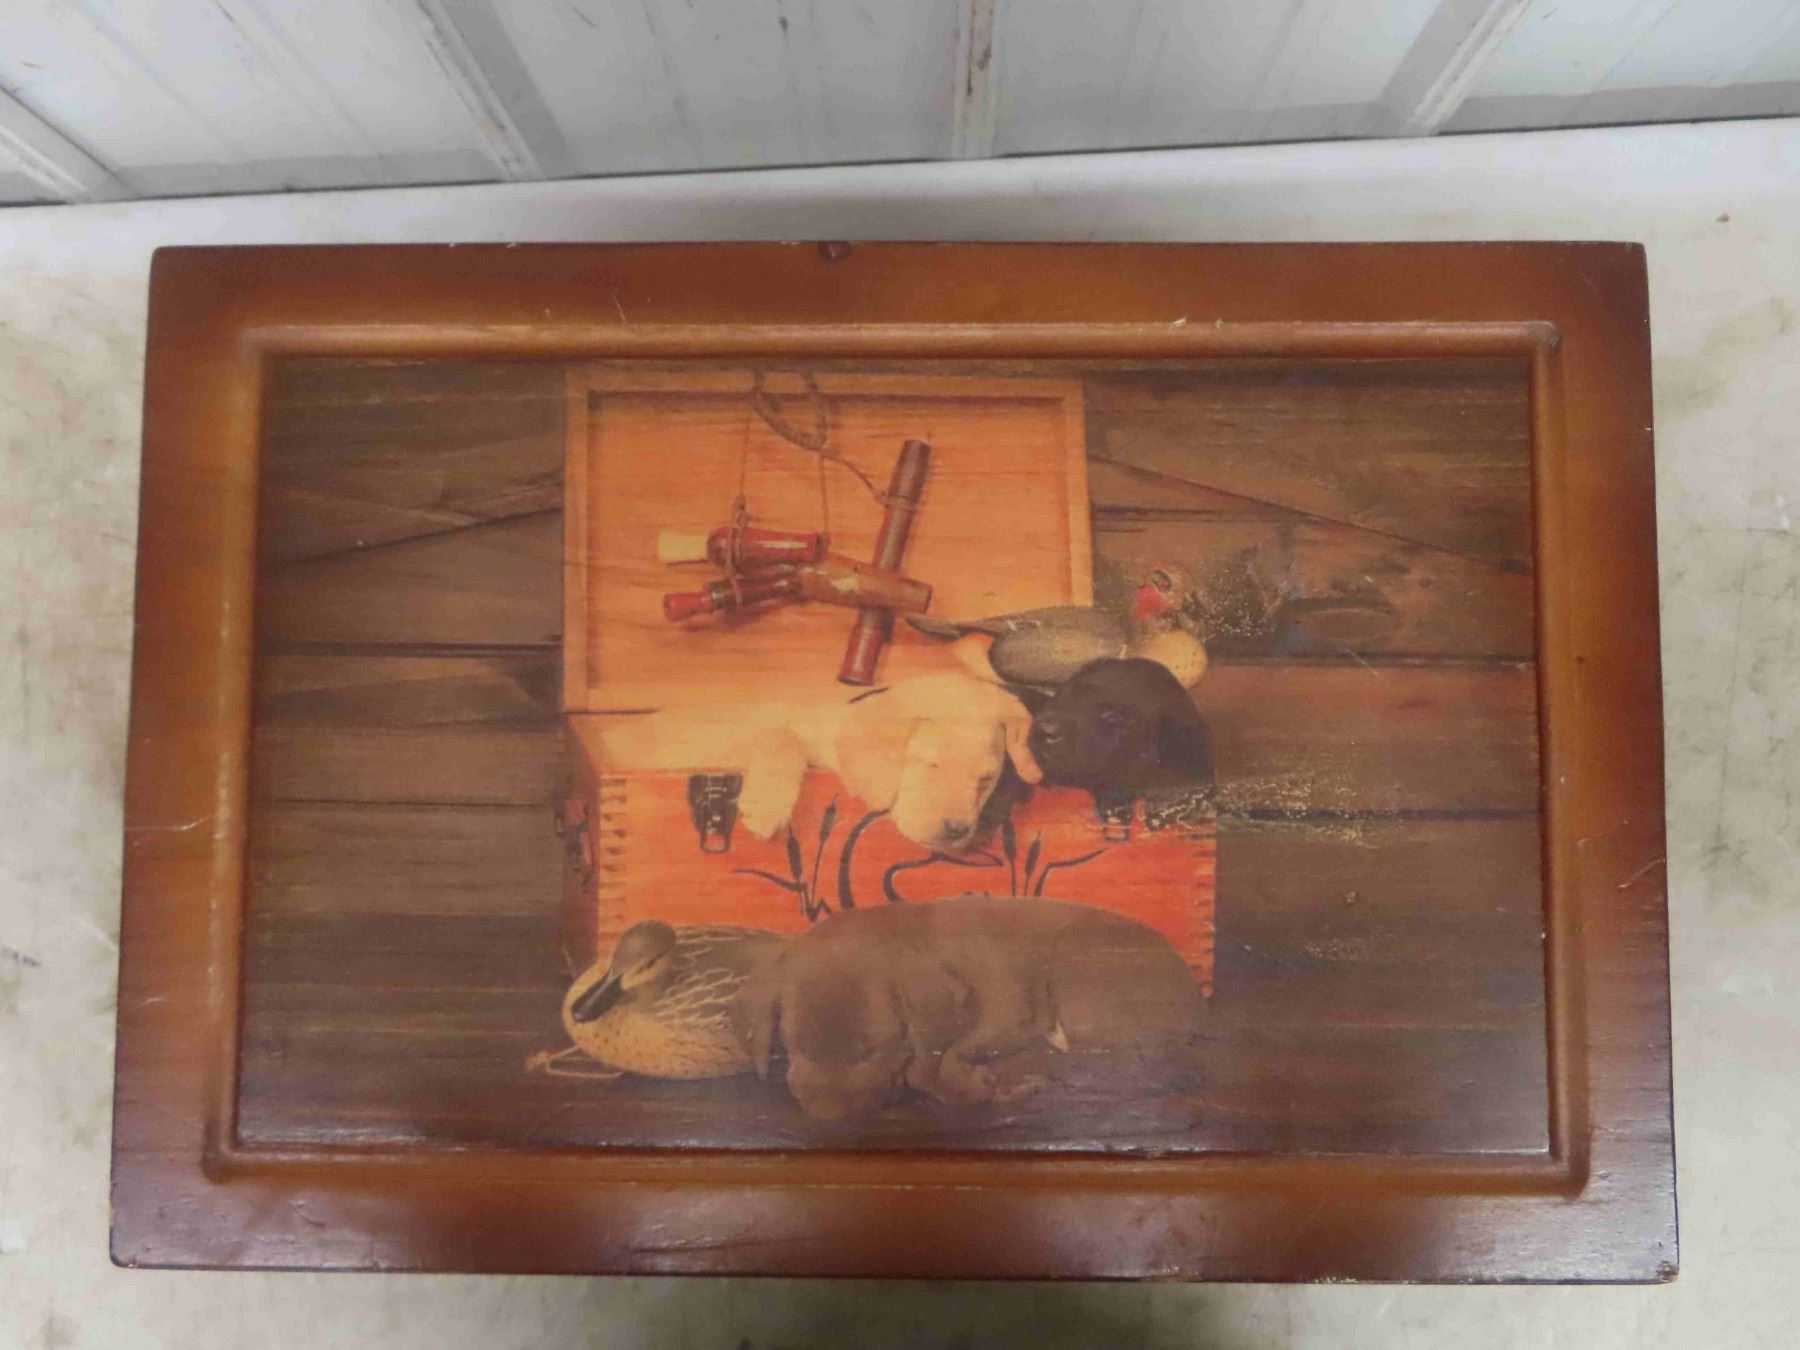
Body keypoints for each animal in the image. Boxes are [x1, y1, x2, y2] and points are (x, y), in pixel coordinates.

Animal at [732, 894, 1206, 1121]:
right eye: (794, 1046)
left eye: (878, 1050)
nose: (827, 1114)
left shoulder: (1011, 1016)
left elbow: (931, 1064)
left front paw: (970, 1083)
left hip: (1075, 962)